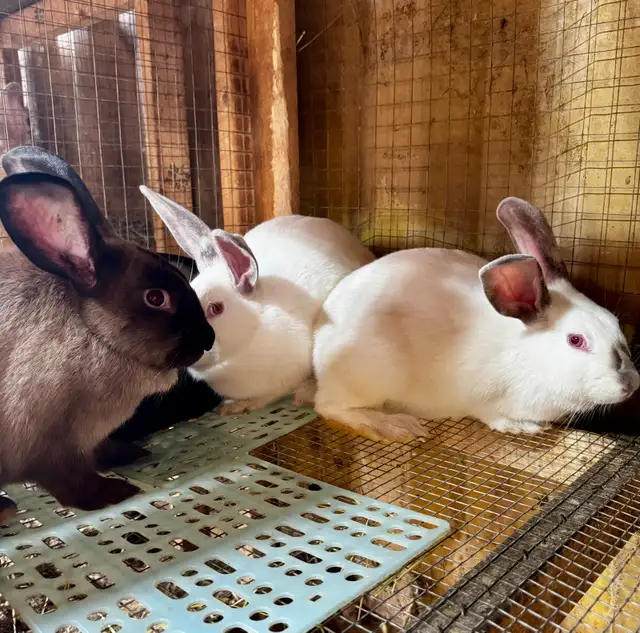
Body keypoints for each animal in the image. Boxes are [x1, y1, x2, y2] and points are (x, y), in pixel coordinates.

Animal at [0, 145, 214, 519]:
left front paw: (130, 455)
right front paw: (114, 493)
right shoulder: (45, 448)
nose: (210, 339)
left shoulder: (89, 439)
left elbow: (100, 452)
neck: (97, 335)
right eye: (155, 298)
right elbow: (71, 483)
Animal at [312, 197, 640, 441]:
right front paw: (522, 427)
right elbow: (492, 415)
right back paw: (393, 426)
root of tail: (318, 342)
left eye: (615, 323)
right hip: (372, 374)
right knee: (329, 407)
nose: (631, 384)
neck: (528, 356)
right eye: (576, 340)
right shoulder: (482, 399)